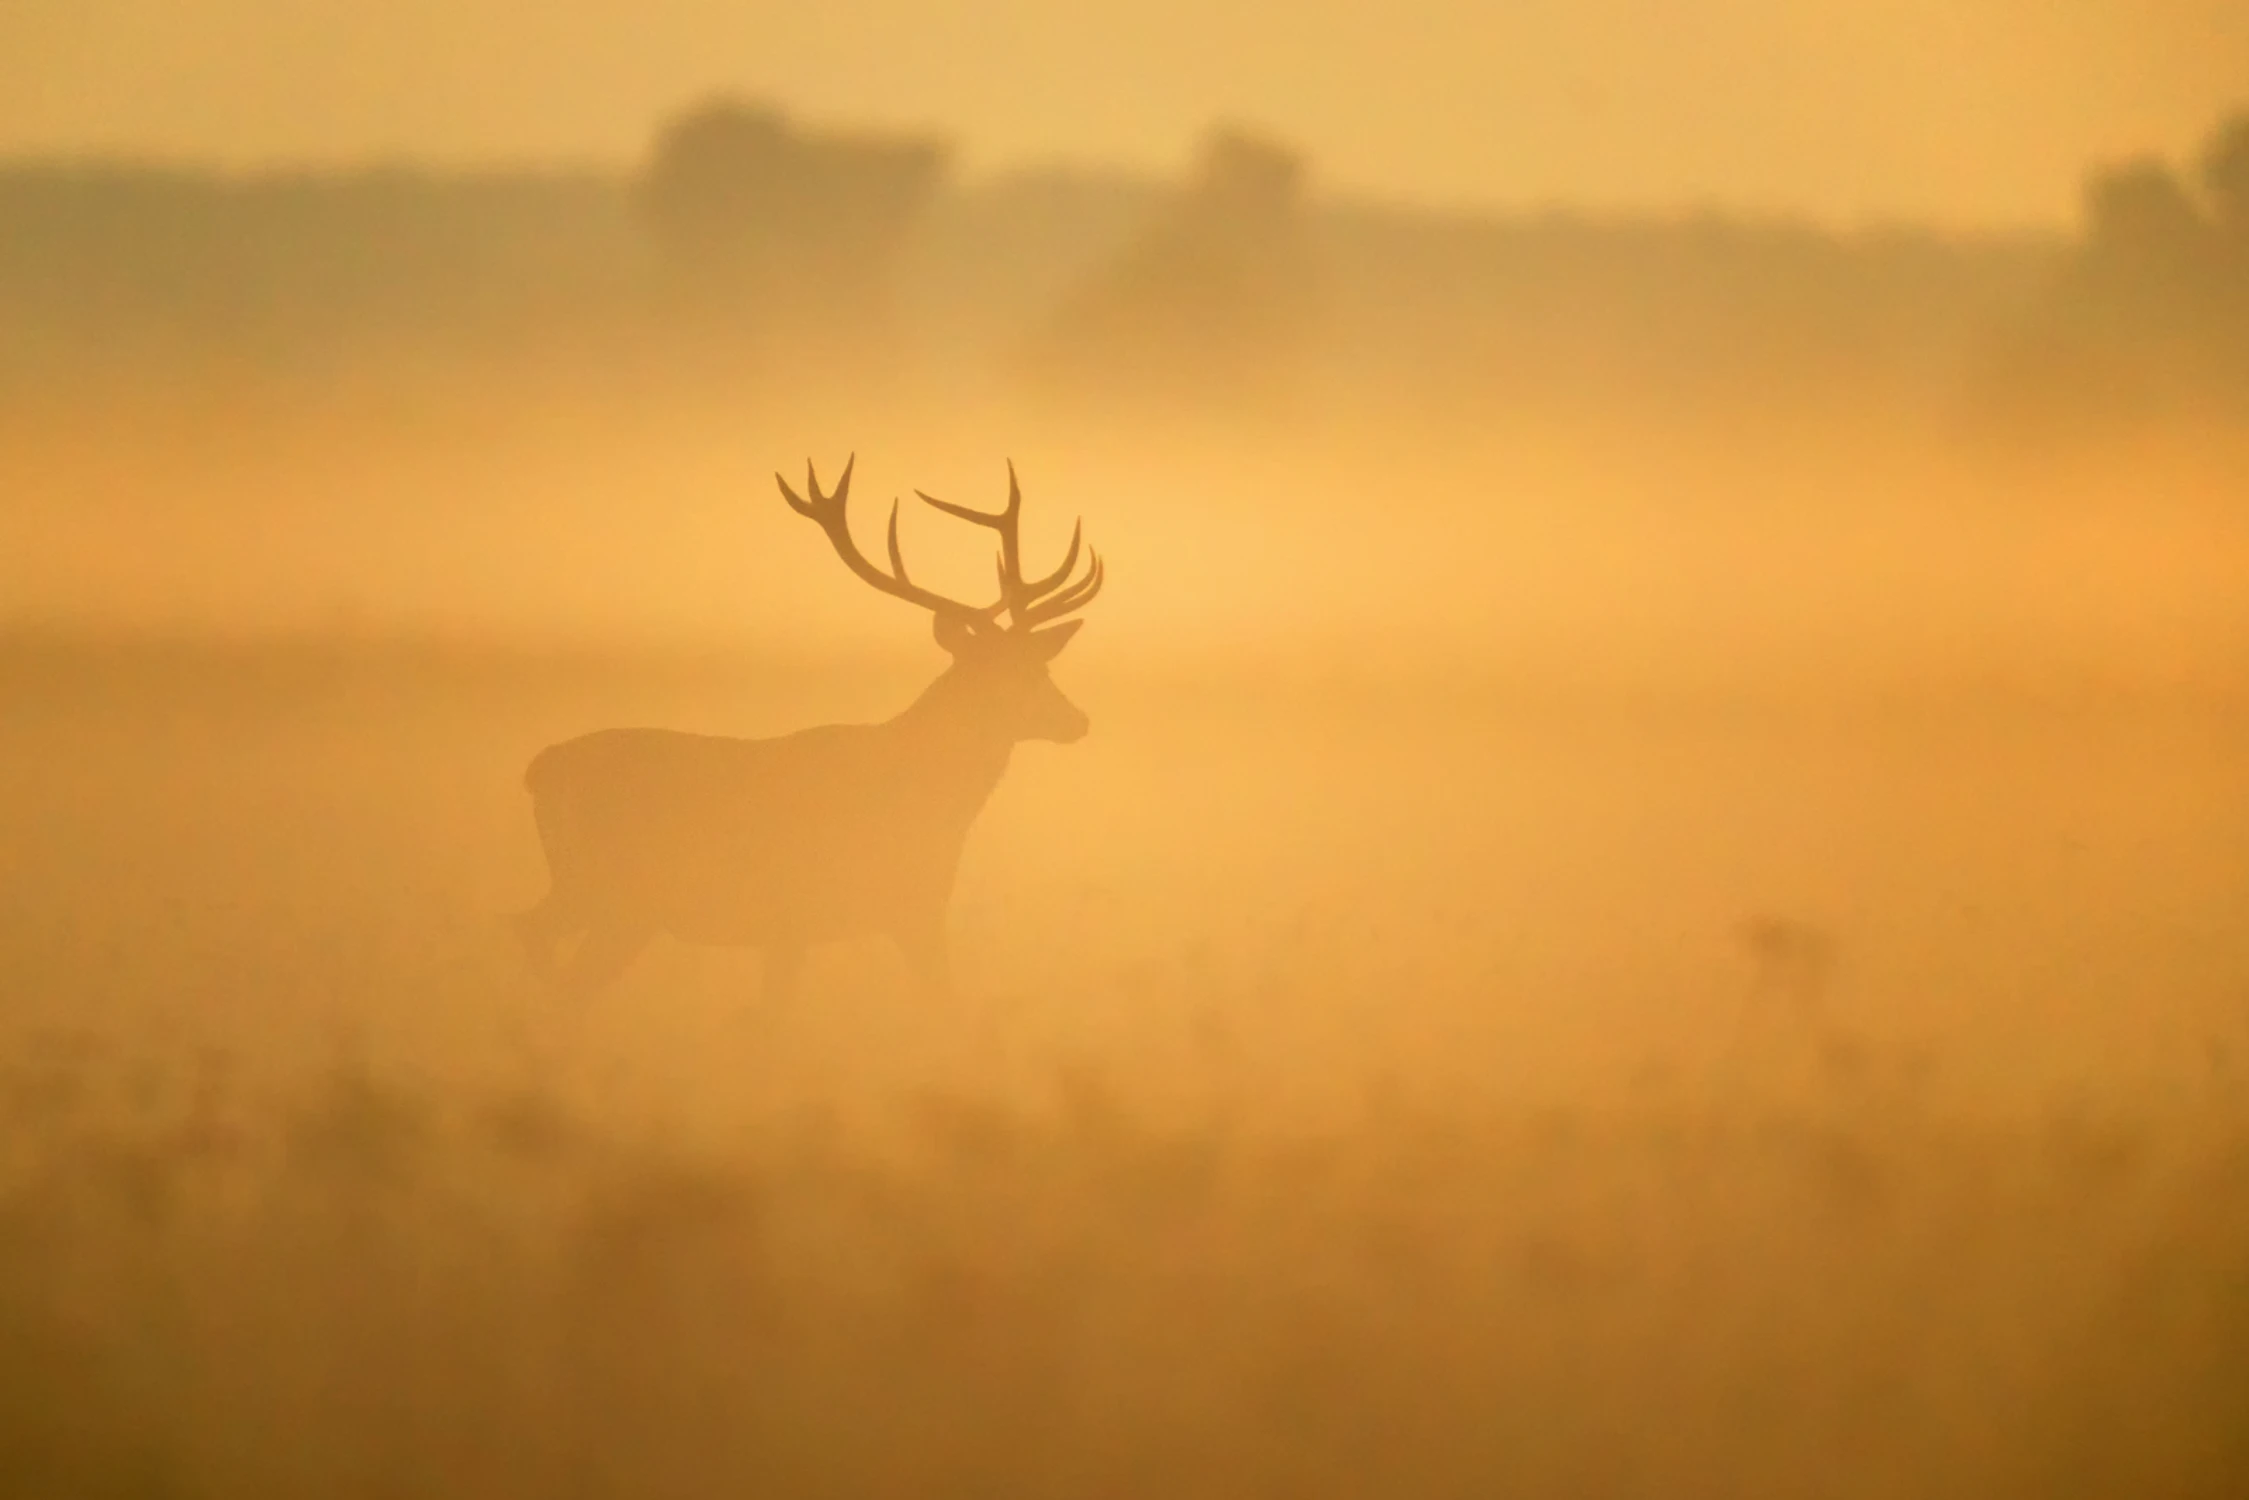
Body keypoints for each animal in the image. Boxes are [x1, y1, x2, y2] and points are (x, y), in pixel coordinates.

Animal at [512, 452, 1106, 1002]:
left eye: (1041, 665)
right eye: (1020, 675)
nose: (1077, 720)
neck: (932, 804)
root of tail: (540, 770)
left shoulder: (798, 932)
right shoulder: (900, 911)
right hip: (614, 893)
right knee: (541, 947)